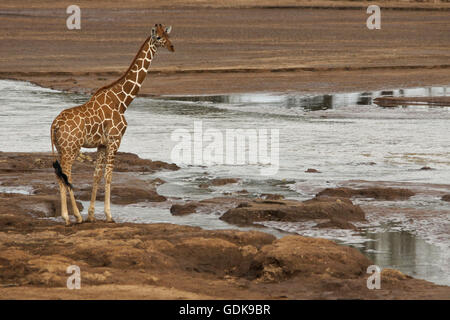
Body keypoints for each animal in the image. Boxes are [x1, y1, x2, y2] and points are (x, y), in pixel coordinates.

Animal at [50, 24, 174, 225]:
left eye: (168, 35)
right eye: (159, 37)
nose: (172, 47)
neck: (122, 101)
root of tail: (54, 125)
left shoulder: (101, 144)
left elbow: (96, 176)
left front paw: (92, 214)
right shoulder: (115, 140)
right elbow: (109, 176)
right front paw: (108, 215)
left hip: (62, 148)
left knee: (60, 175)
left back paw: (73, 216)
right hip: (71, 148)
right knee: (65, 176)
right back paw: (72, 217)